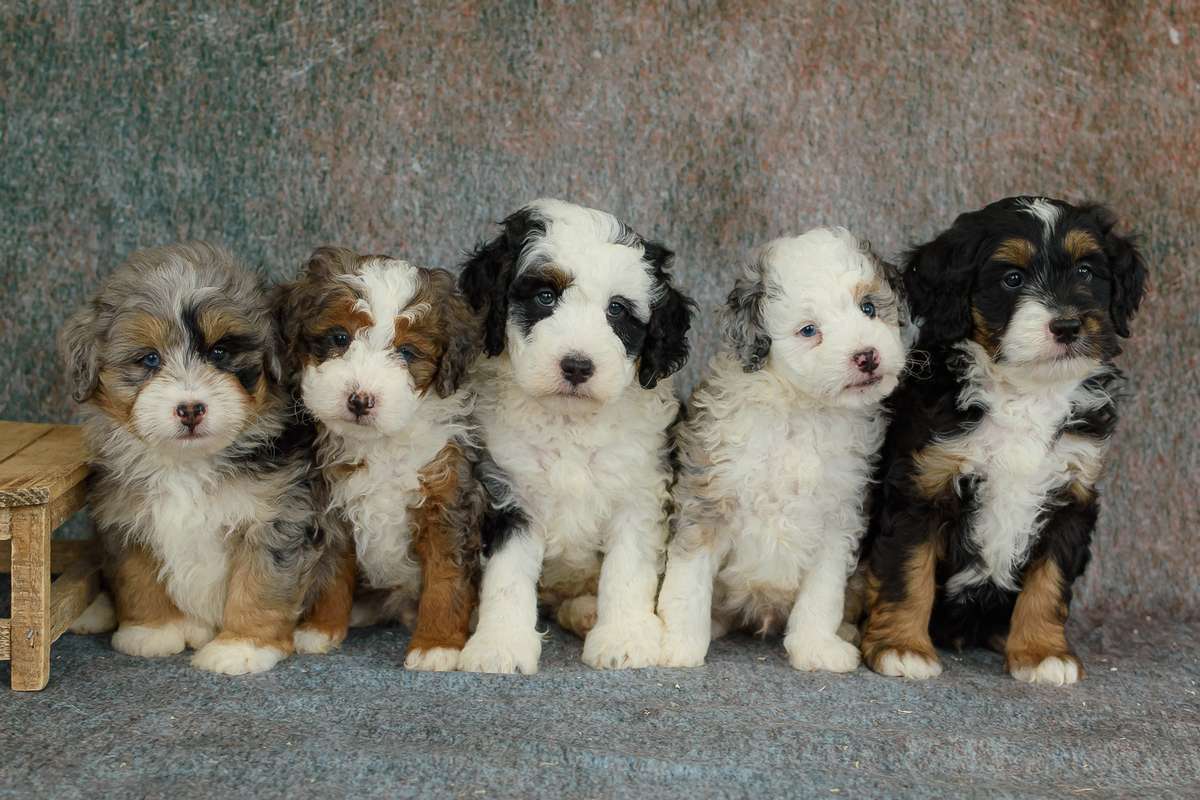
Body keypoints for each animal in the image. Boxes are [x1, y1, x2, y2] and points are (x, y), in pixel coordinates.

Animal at [59, 242, 336, 676]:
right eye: (150, 359)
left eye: (220, 351)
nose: (190, 409)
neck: (188, 464)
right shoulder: (125, 518)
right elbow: (137, 577)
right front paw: (150, 631)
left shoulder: (277, 518)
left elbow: (260, 585)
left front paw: (242, 647)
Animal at [274, 245, 484, 671]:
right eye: (339, 337)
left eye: (407, 352)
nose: (360, 399)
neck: (382, 445)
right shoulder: (332, 507)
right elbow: (332, 571)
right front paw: (321, 628)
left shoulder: (448, 500)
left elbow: (446, 579)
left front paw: (436, 645)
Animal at [451, 196, 696, 671]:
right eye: (545, 296)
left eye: (616, 310)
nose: (578, 366)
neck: (569, 423)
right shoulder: (508, 491)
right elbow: (507, 576)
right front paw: (500, 644)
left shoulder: (638, 490)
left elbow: (627, 569)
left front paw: (624, 637)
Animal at [657, 227, 907, 671]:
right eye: (809, 331)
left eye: (869, 307)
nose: (867, 357)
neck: (801, 409)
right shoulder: (707, 500)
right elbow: (688, 581)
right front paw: (678, 644)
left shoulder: (839, 515)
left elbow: (822, 593)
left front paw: (816, 647)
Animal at [859, 196, 1147, 686]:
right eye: (1012, 279)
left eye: (1086, 272)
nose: (1067, 325)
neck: (1026, 392)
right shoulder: (922, 486)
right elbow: (907, 570)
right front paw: (901, 647)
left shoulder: (1071, 493)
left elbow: (1049, 582)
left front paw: (1042, 652)